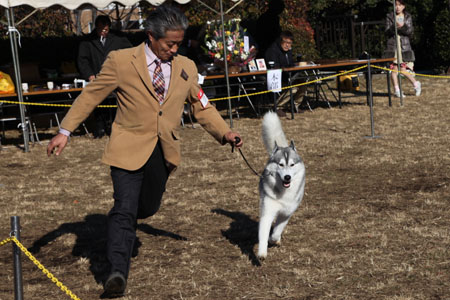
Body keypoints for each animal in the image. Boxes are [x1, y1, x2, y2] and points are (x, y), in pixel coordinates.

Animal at [256, 111, 306, 258]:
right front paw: (262, 253)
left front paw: (275, 239)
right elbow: (264, 234)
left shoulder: (287, 212)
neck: (283, 192)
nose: (287, 177)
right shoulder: (267, 211)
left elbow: (277, 230)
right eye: (281, 164)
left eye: (292, 165)